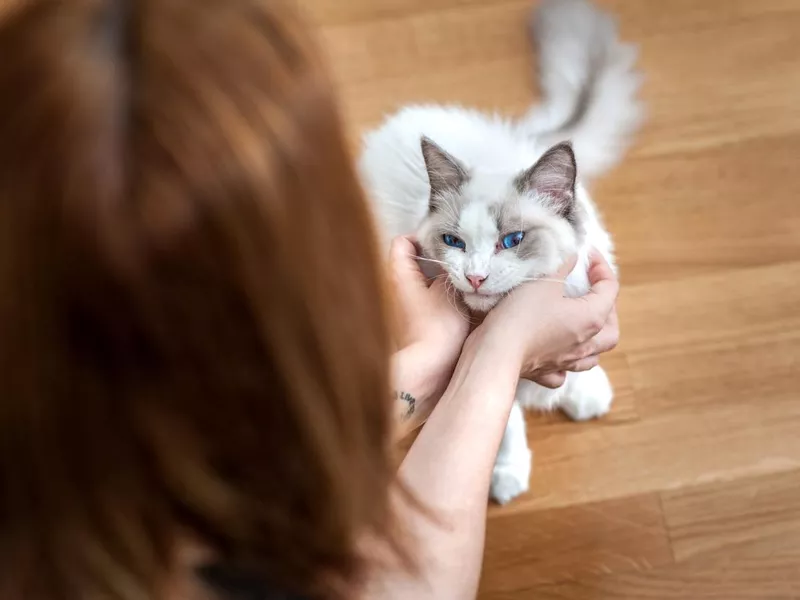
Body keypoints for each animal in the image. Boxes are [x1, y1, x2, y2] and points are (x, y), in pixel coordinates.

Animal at [360, 0, 644, 506]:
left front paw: (584, 392)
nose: (474, 276)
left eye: (511, 241)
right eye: (454, 243)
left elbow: (583, 365)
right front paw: (507, 474)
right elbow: (505, 420)